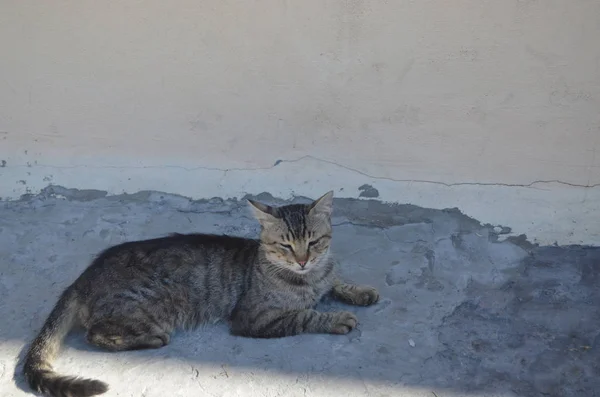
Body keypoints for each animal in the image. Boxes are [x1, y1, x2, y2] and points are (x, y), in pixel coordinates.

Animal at [24, 190, 380, 394]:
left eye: (314, 242)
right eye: (286, 246)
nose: (303, 260)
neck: (308, 278)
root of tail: (83, 277)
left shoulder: (324, 276)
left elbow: (336, 282)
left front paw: (360, 291)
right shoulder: (253, 318)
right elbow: (305, 315)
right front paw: (336, 318)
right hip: (153, 306)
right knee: (95, 333)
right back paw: (151, 339)